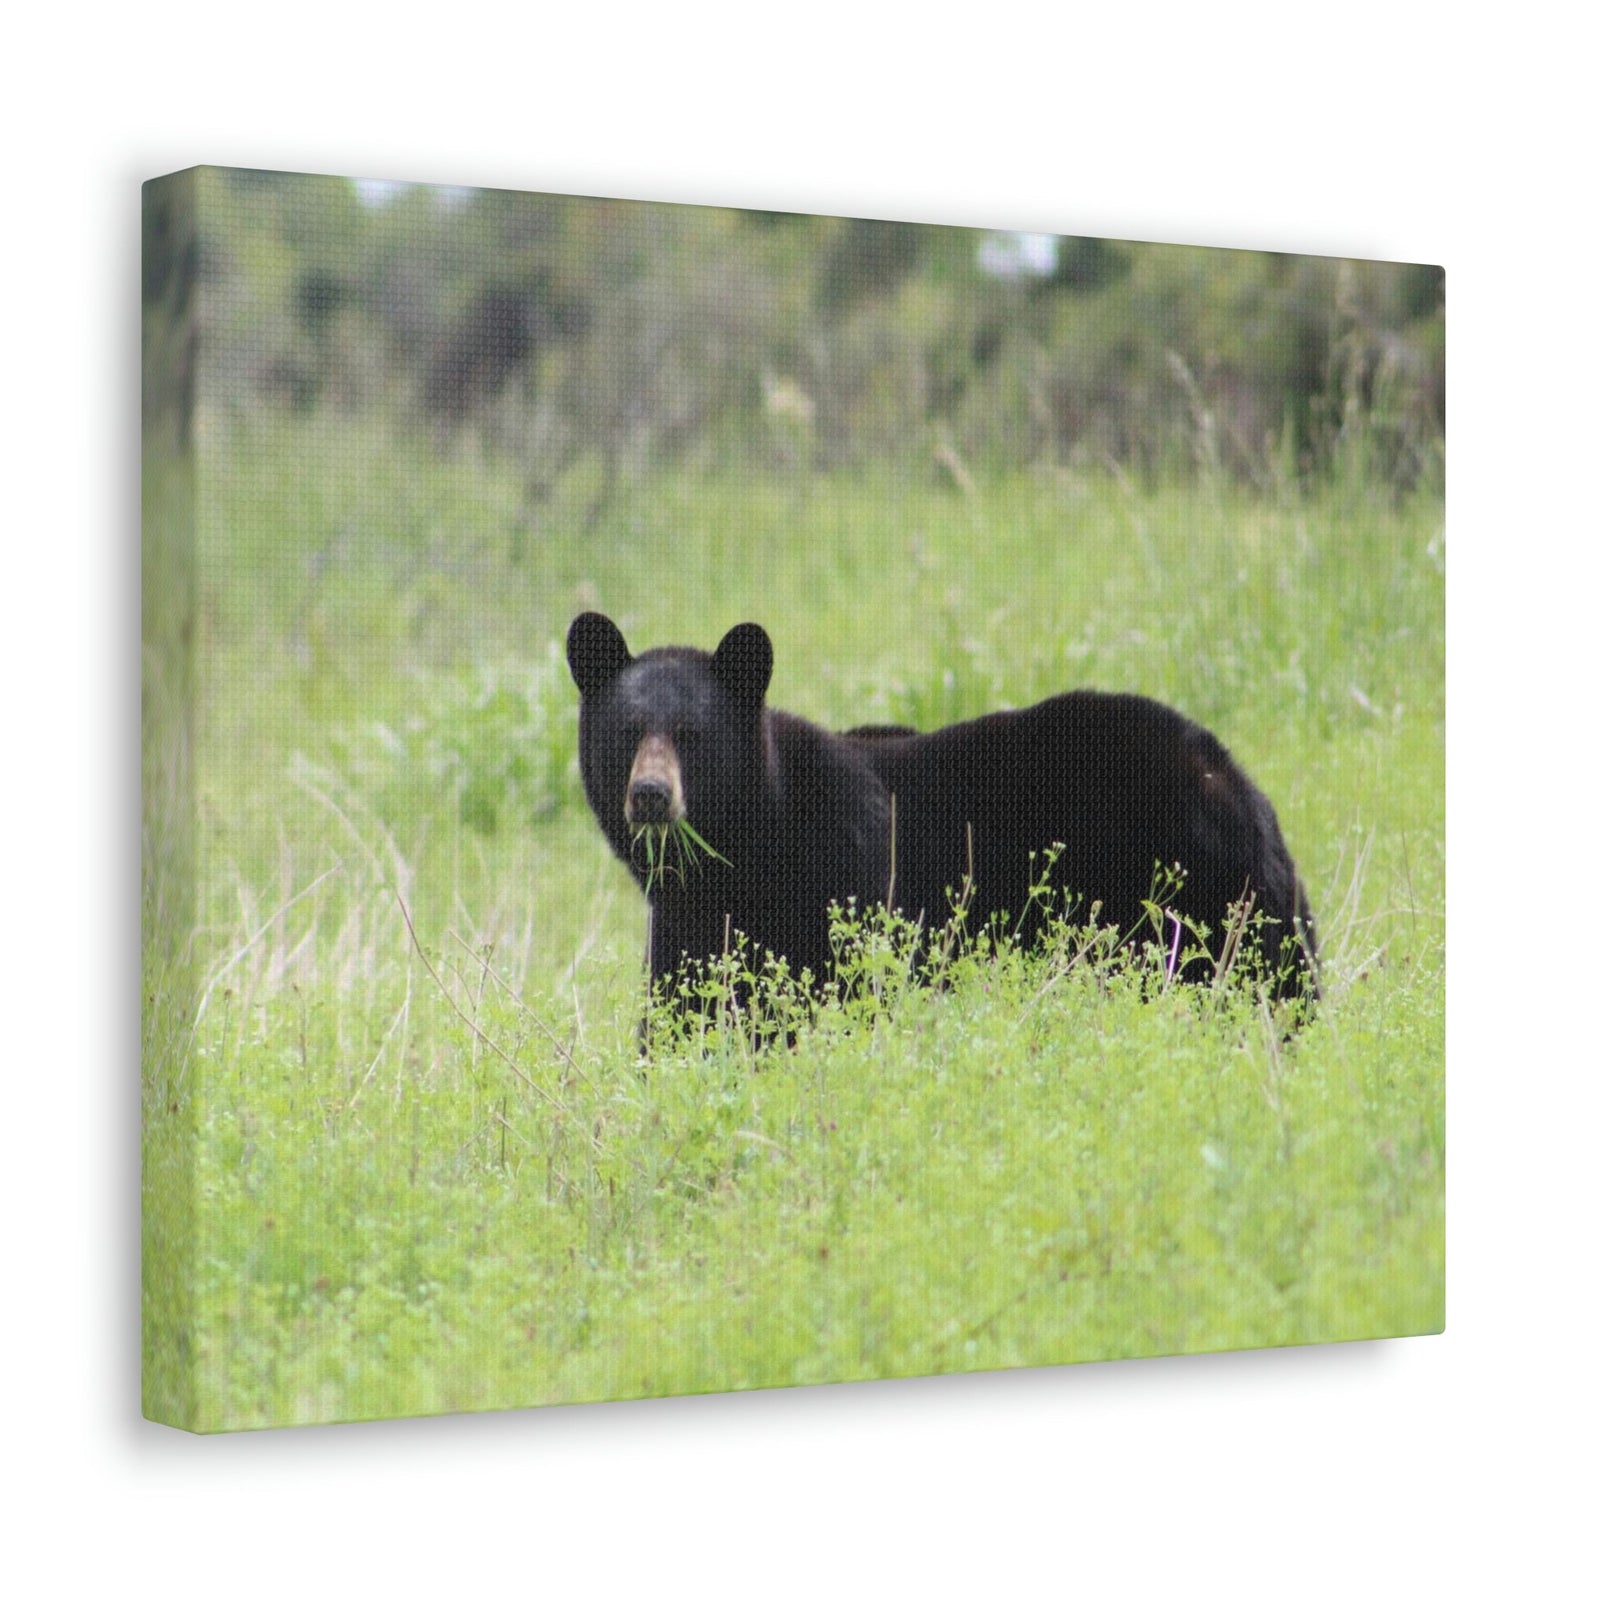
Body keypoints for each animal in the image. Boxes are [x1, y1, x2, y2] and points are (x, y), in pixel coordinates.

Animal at [565, 611, 1317, 1016]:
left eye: (692, 734)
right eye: (628, 731)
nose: (651, 794)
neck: (753, 847)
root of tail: (1235, 778)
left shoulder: (848, 874)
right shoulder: (688, 921)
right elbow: (685, 1011)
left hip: (1190, 897)